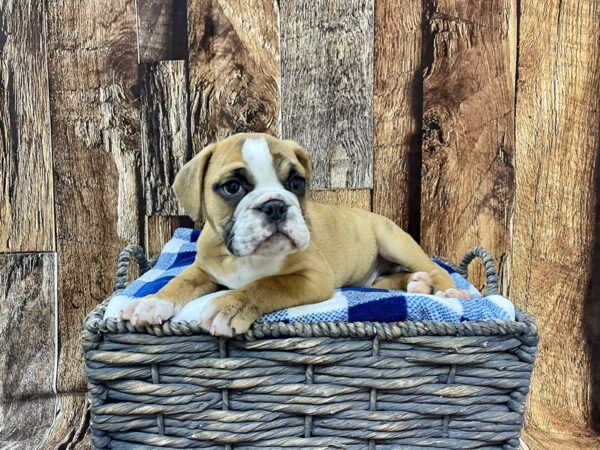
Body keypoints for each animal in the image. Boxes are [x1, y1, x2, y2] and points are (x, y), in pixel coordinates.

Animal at [120, 132, 468, 336]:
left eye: (296, 183)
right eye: (232, 187)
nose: (275, 205)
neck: (247, 258)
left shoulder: (312, 276)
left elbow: (268, 284)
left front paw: (230, 305)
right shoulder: (203, 270)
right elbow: (179, 282)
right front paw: (151, 303)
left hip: (394, 240)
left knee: (434, 268)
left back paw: (449, 292)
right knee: (384, 281)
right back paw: (414, 283)